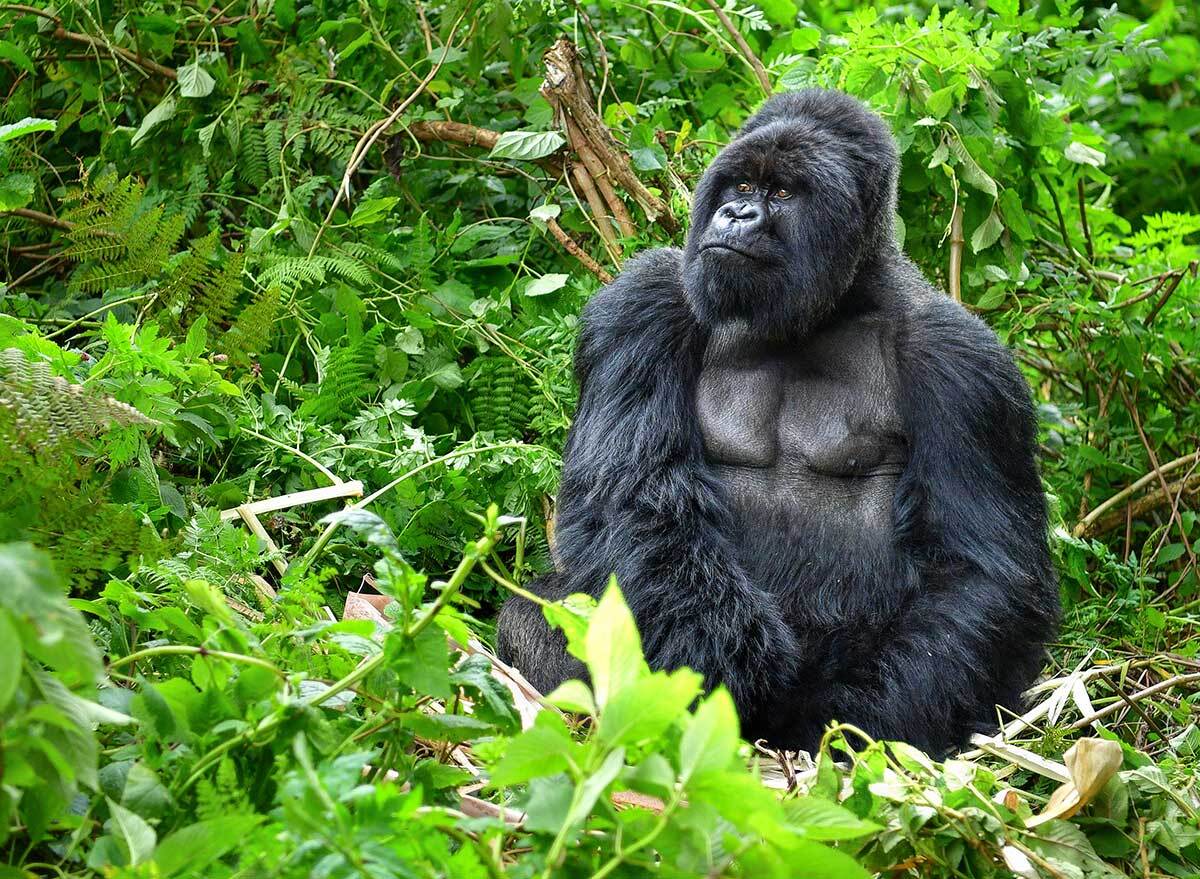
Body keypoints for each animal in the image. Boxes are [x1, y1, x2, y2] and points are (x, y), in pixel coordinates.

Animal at [496, 87, 1060, 754]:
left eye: (784, 194)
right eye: (741, 184)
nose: (737, 215)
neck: (830, 306)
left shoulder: (963, 364)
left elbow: (983, 572)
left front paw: (849, 720)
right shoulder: (642, 301)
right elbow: (630, 499)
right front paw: (723, 655)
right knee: (536, 613)